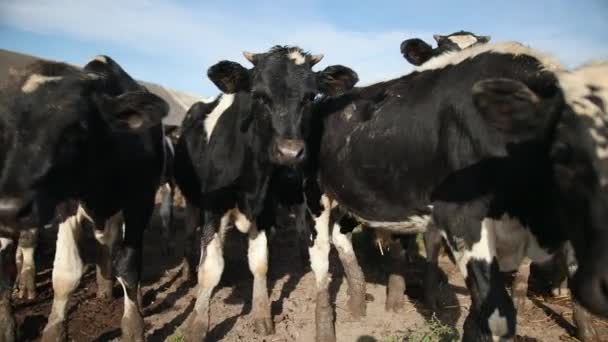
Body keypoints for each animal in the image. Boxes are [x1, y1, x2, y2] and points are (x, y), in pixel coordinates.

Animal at [0, 54, 169, 340]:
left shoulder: (141, 202)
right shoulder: (66, 205)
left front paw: (134, 325)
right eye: (8, 128)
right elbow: (66, 272)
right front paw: (55, 329)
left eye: (76, 129)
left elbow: (129, 265)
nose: (8, 208)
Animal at [173, 46, 358, 340]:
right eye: (259, 95)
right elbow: (211, 267)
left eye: (310, 96)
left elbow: (259, 261)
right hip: (191, 198)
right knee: (191, 234)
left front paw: (262, 315)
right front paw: (198, 324)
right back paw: (188, 270)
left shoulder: (264, 209)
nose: (290, 152)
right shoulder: (214, 205)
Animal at [304, 43, 608, 342]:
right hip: (315, 194)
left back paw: (357, 302)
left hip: (360, 195)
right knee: (320, 257)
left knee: (340, 236)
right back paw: (324, 328)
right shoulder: (461, 218)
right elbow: (495, 311)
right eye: (566, 154)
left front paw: (587, 330)